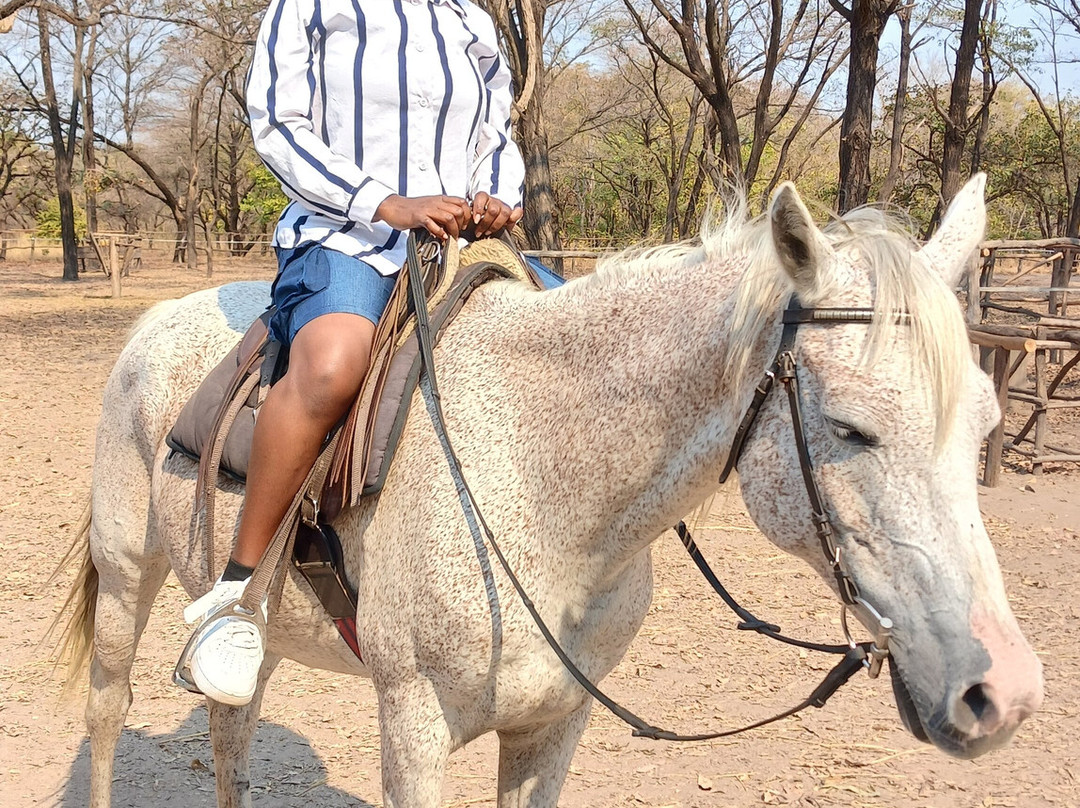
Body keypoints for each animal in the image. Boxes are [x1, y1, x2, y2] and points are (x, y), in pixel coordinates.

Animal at [55, 175, 1043, 808]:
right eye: (850, 428)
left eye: (985, 424)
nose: (1002, 692)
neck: (542, 484)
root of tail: (154, 321)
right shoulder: (411, 728)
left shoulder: (554, 725)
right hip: (127, 573)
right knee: (108, 711)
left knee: (231, 731)